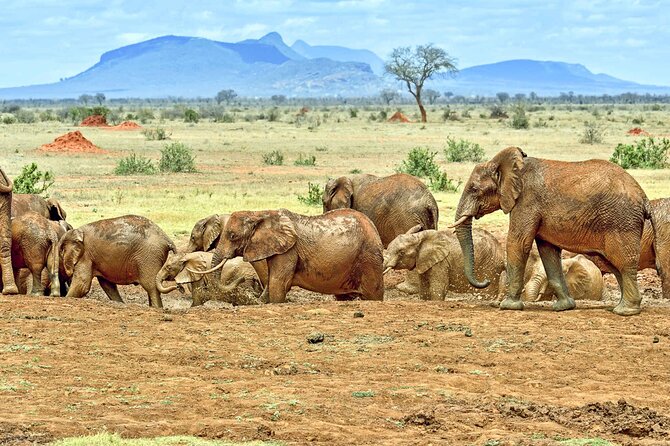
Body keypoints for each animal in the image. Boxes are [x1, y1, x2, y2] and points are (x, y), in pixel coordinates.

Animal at [194, 209, 384, 304]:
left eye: (232, 236)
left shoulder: (288, 251)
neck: (259, 214)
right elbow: (272, 281)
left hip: (368, 257)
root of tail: (373, 228)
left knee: (373, 293)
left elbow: (278, 282)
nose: (244, 280)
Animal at [454, 148, 652, 316]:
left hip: (621, 221)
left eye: (474, 189)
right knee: (615, 265)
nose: (486, 281)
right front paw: (563, 307)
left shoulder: (526, 201)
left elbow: (518, 243)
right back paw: (620, 307)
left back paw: (625, 311)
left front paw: (508, 306)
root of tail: (644, 198)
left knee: (623, 263)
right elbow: (548, 251)